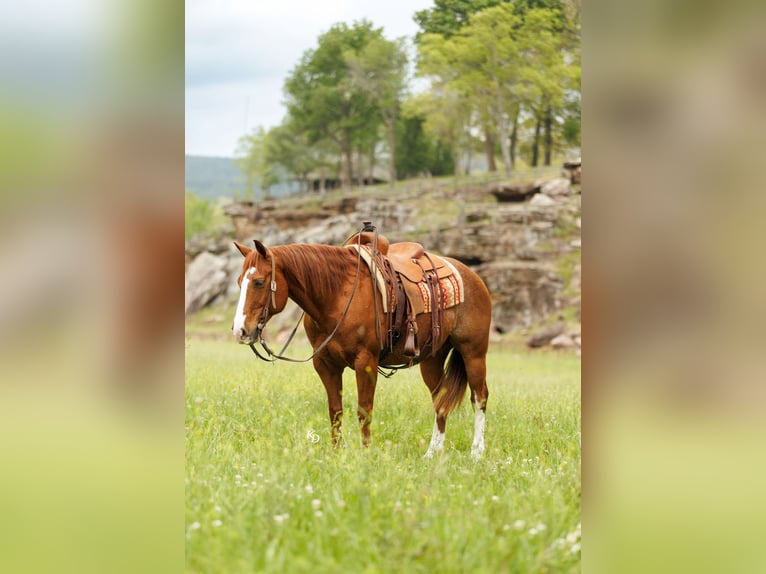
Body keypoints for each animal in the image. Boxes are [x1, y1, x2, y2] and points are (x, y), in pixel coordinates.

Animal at [231, 231, 492, 459]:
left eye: (259, 282)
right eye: (239, 282)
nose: (240, 330)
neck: (337, 295)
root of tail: (473, 276)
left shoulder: (365, 362)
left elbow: (364, 410)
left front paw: (365, 454)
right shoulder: (325, 364)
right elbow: (335, 411)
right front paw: (335, 454)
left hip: (474, 353)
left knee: (479, 397)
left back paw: (477, 453)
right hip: (431, 359)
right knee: (440, 399)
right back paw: (432, 453)